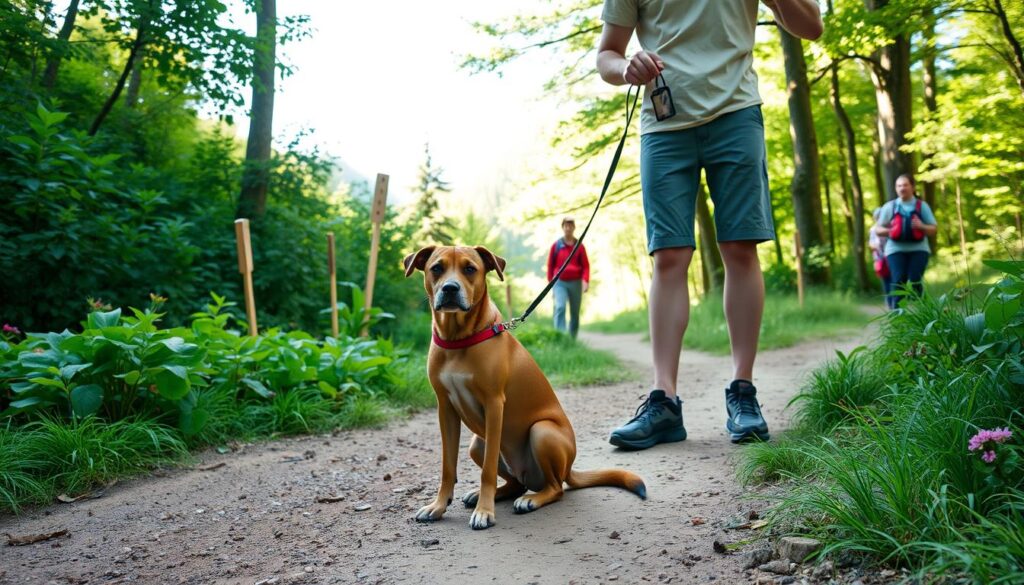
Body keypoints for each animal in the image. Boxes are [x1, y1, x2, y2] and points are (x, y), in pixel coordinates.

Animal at [403, 244, 643, 528]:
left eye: (470, 269)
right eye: (436, 268)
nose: (450, 288)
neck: (458, 340)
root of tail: (569, 469)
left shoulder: (494, 404)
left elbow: (487, 471)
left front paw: (484, 512)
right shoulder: (445, 409)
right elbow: (448, 467)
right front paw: (438, 506)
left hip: (542, 432)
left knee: (556, 488)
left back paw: (530, 500)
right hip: (477, 443)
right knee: (516, 483)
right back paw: (490, 494)